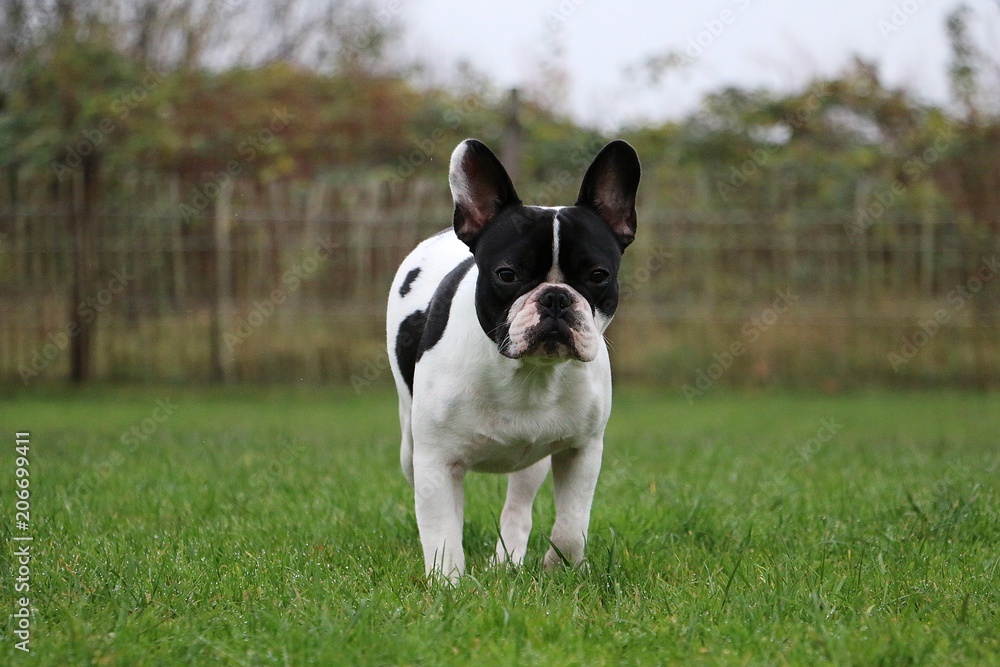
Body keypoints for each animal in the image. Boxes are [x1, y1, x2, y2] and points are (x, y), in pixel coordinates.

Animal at [386, 137, 636, 580]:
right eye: (507, 274)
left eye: (598, 276)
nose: (555, 297)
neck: (528, 373)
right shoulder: (436, 462)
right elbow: (441, 532)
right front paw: (448, 584)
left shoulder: (582, 451)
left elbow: (572, 524)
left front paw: (560, 566)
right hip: (410, 449)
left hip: (532, 461)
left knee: (518, 506)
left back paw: (507, 560)